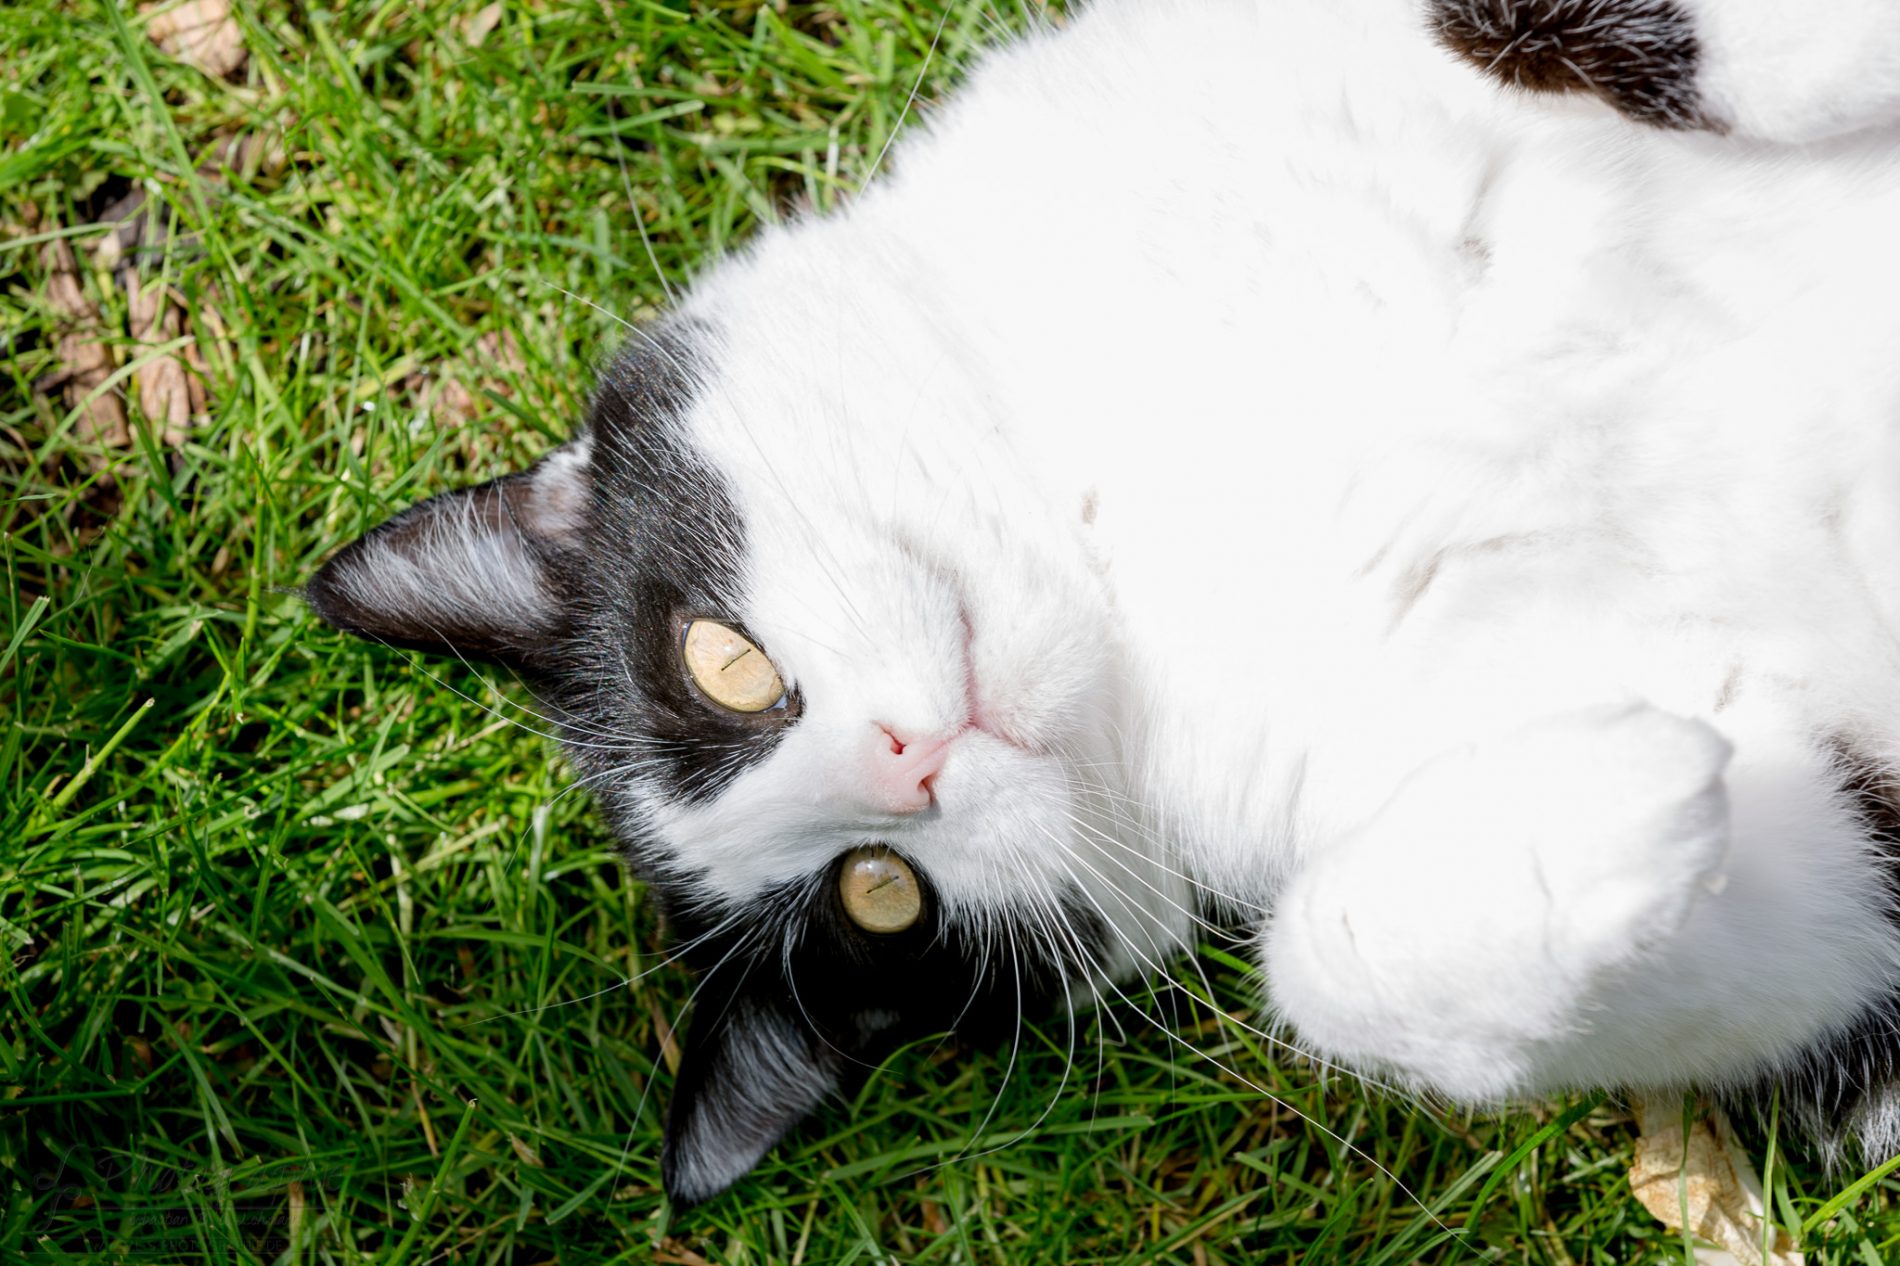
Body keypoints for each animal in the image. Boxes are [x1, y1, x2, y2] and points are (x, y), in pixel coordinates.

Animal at [307, 0, 1900, 1201]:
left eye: (722, 662)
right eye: (883, 897)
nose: (911, 759)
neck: (1134, 557)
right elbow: (1777, 921)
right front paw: (1592, 826)